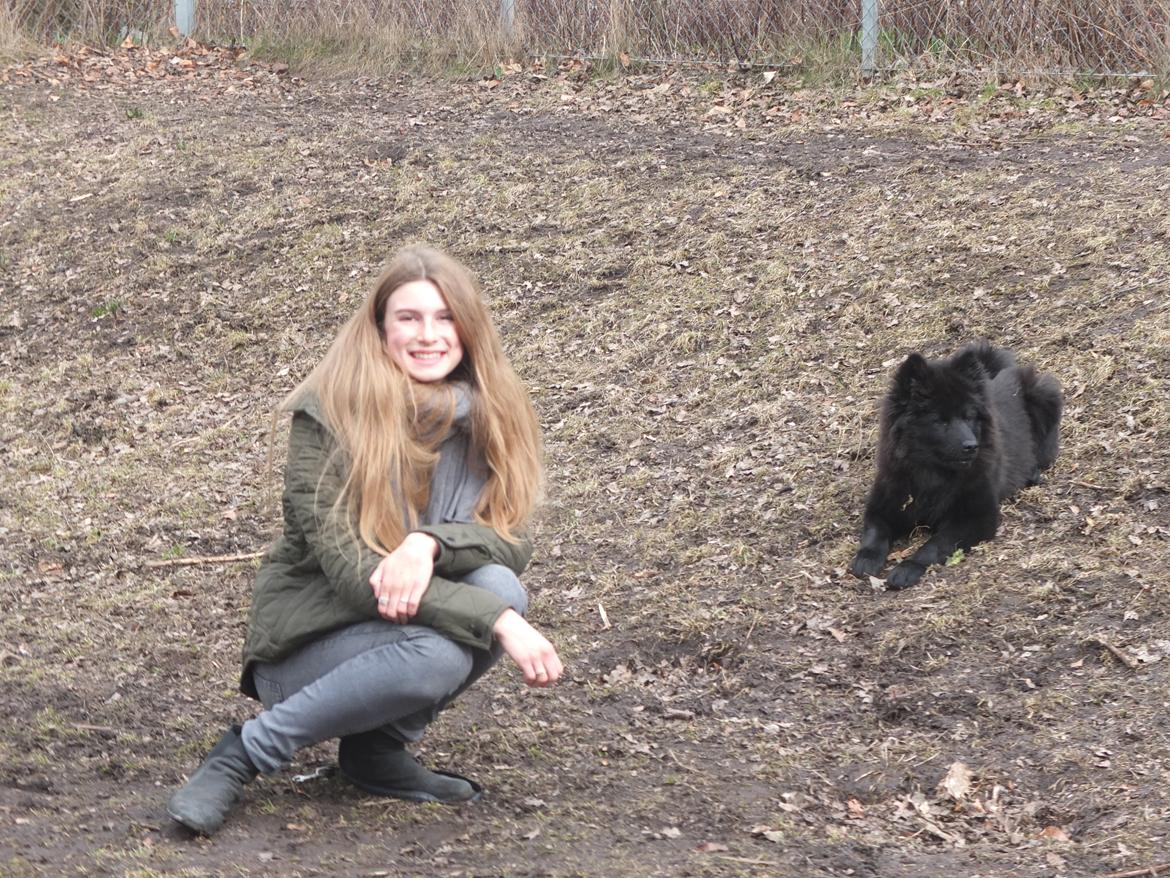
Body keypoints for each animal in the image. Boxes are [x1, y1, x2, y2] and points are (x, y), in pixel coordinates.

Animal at [849, 341, 1062, 590]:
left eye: (968, 416)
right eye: (940, 421)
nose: (972, 446)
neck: (932, 474)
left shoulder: (975, 518)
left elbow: (934, 544)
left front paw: (907, 568)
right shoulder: (883, 505)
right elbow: (875, 533)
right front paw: (866, 559)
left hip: (1044, 396)